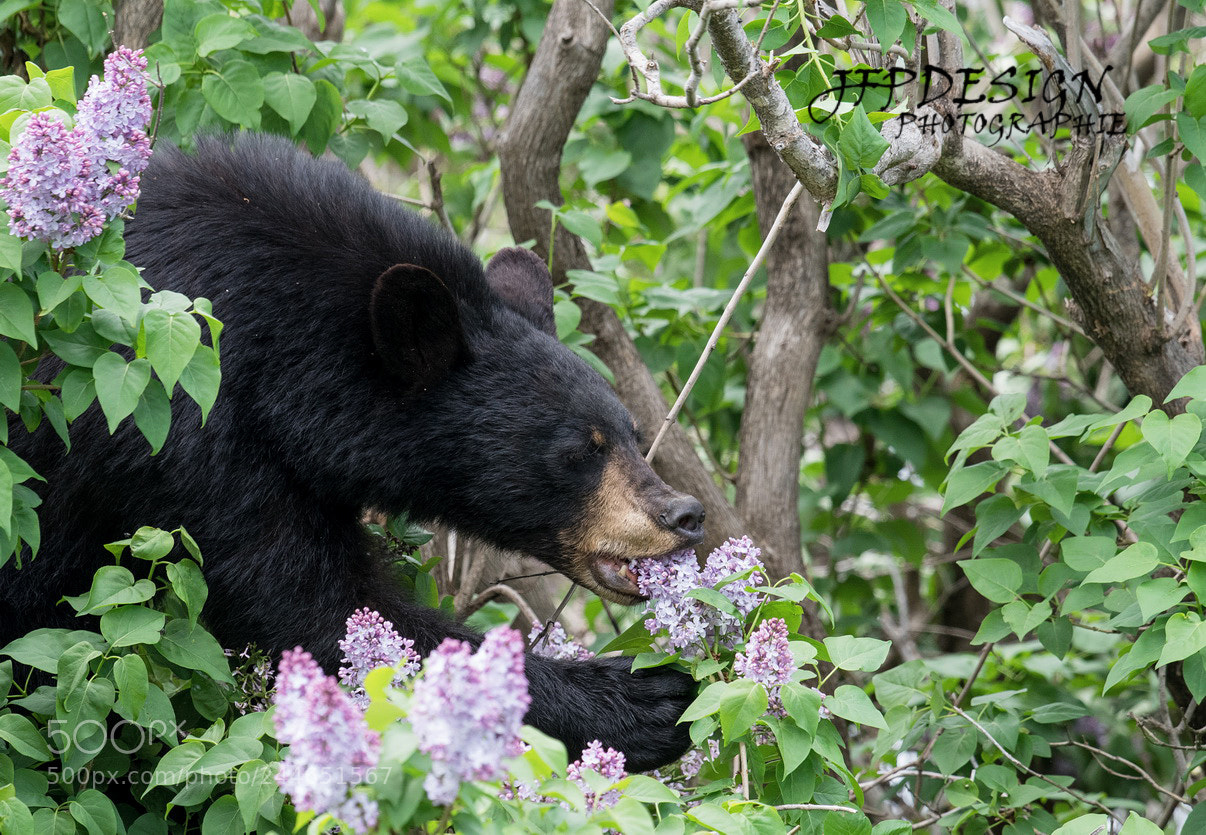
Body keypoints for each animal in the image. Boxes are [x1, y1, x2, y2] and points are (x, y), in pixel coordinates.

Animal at [0, 133, 705, 772]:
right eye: (580, 450)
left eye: (631, 432)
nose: (684, 514)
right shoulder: (183, 428)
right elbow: (319, 612)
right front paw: (643, 699)